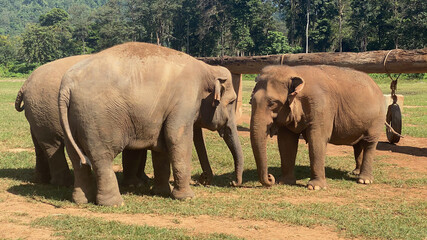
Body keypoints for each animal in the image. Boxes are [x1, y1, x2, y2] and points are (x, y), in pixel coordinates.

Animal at [58, 42, 242, 205]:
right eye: (232, 102)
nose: (233, 183)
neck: (207, 69)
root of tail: (66, 86)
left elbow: (162, 146)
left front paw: (161, 192)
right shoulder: (184, 100)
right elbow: (176, 136)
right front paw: (187, 198)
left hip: (72, 120)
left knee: (77, 159)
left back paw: (81, 201)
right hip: (97, 121)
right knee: (102, 158)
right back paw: (115, 204)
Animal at [249, 64, 386, 190]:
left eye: (272, 103)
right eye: (251, 101)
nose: (270, 177)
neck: (295, 71)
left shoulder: (321, 105)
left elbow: (317, 139)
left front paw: (314, 187)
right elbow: (286, 142)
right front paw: (284, 182)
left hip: (378, 118)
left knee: (369, 143)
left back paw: (364, 180)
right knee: (357, 145)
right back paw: (355, 172)